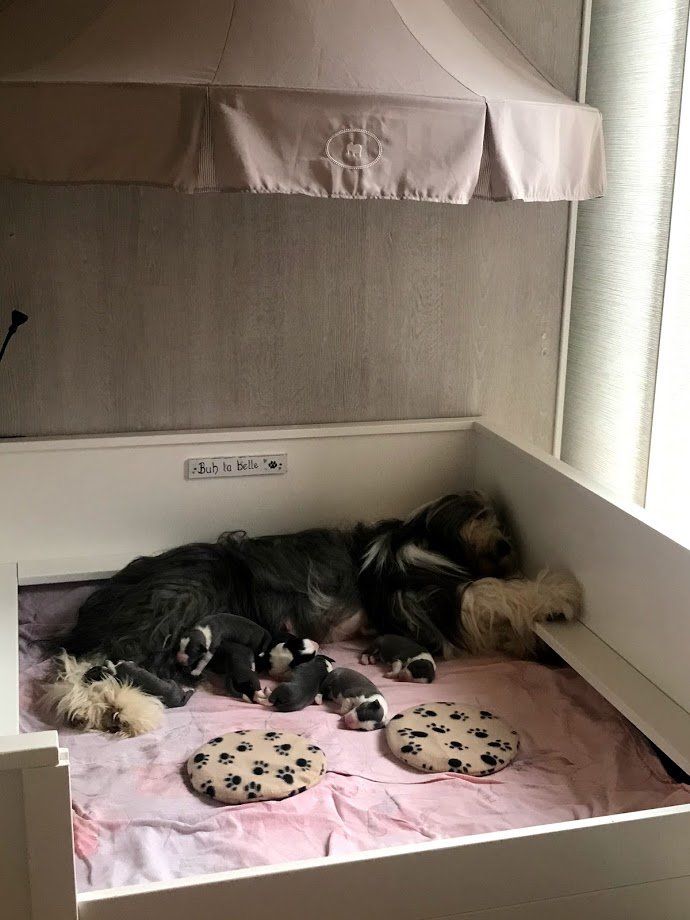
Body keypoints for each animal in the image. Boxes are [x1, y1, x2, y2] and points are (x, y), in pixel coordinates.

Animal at [46, 491, 581, 735]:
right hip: (179, 601)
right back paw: (123, 706)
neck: (425, 537)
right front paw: (558, 592)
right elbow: (493, 593)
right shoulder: (427, 601)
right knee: (103, 663)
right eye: (481, 516)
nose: (508, 543)